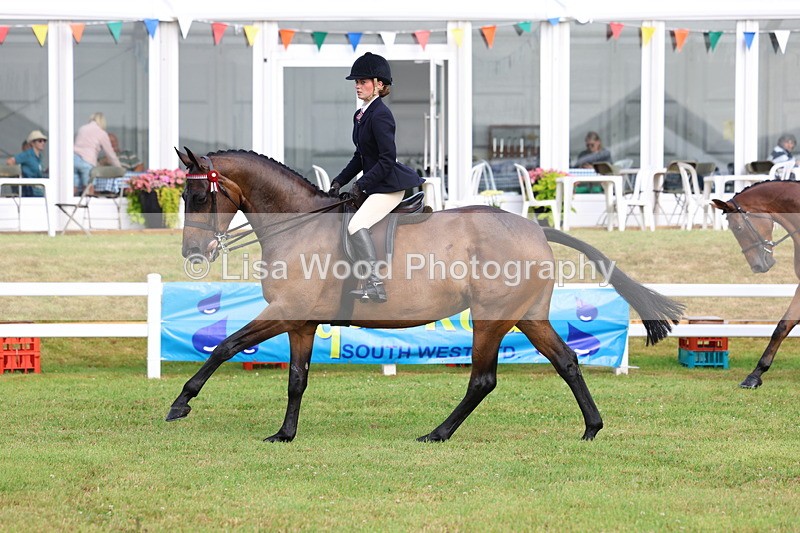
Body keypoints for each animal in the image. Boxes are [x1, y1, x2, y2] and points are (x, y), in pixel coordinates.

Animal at [167, 147, 684, 442]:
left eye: (199, 197)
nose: (193, 253)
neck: (297, 224)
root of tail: (535, 228)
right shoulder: (301, 321)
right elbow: (296, 379)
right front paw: (285, 434)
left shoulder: (286, 310)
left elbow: (226, 345)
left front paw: (181, 404)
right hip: (528, 315)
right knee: (567, 362)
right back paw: (591, 428)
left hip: (491, 318)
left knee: (483, 380)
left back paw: (437, 433)